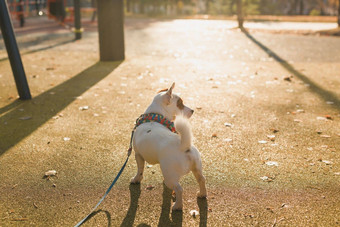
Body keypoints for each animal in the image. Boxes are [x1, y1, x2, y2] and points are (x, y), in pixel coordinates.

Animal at [131, 82, 207, 210]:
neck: (155, 117)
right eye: (180, 104)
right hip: (196, 168)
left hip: (170, 176)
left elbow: (140, 170)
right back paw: (202, 194)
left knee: (179, 189)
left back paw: (177, 206)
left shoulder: (138, 155)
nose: (192, 110)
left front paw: (136, 179)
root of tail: (184, 146)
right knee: (202, 180)